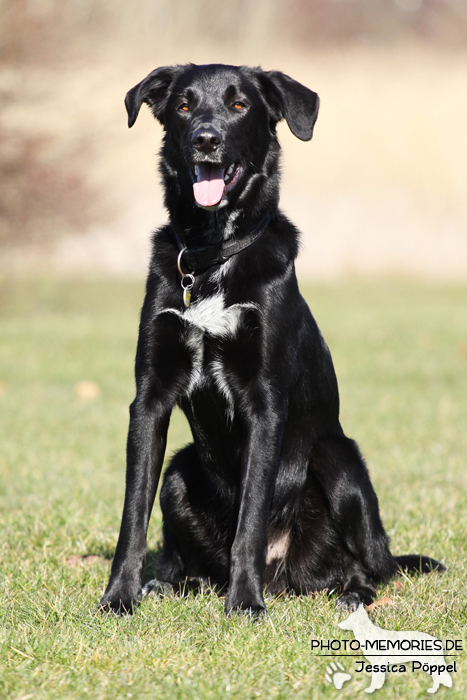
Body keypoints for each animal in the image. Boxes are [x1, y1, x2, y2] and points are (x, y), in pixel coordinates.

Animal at [99, 63, 446, 616]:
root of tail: (286, 576)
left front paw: (245, 603)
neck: (212, 256)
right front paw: (118, 597)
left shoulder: (263, 403)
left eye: (240, 105)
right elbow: (133, 512)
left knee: (371, 567)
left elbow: (252, 517)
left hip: (338, 460)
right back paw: (177, 583)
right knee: (192, 549)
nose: (206, 139)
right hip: (180, 470)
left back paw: (348, 594)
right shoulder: (149, 399)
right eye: (183, 106)